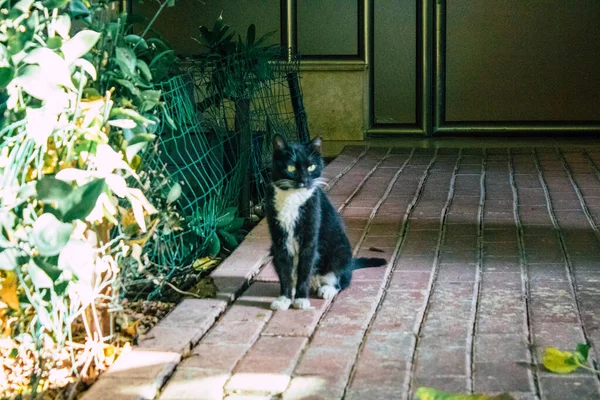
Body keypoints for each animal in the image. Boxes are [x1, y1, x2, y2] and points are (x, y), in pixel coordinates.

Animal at [264, 134, 386, 310]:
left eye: (311, 167)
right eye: (291, 168)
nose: (304, 180)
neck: (292, 197)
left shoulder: (310, 236)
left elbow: (305, 270)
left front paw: (301, 299)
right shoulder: (278, 238)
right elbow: (285, 271)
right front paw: (284, 299)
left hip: (341, 250)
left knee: (342, 281)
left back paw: (327, 289)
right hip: (273, 251)